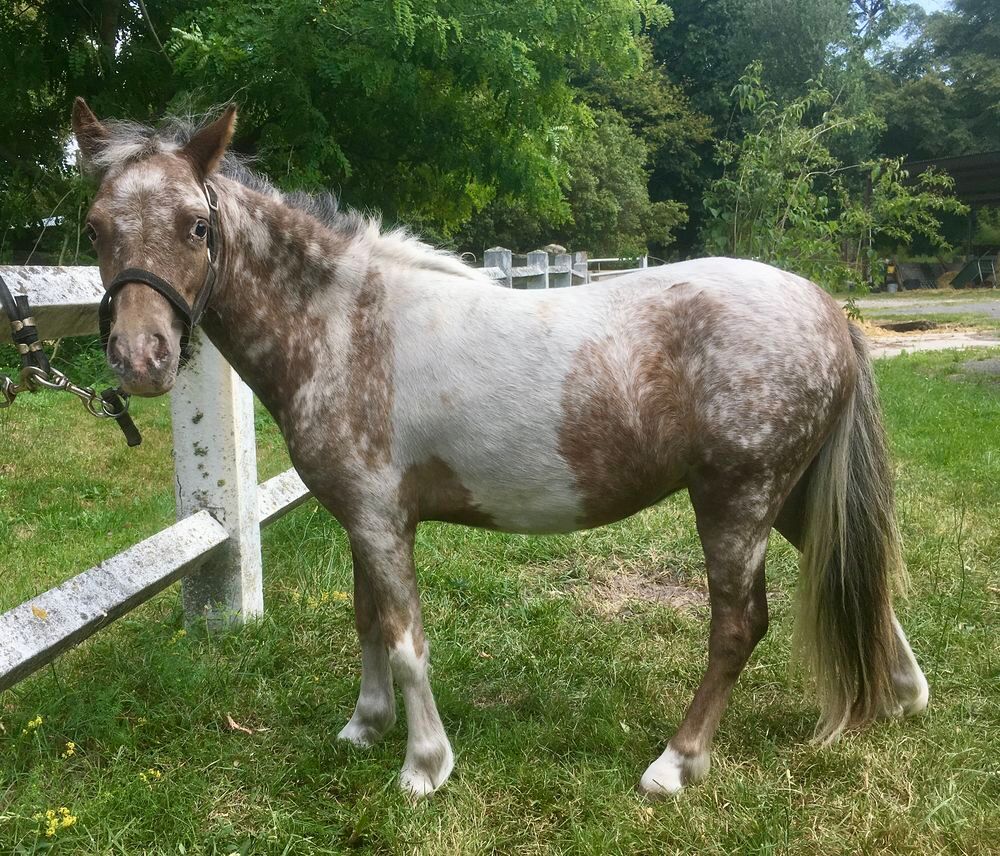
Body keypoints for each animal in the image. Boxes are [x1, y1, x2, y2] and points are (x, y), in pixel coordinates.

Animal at [70, 100, 929, 799]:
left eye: (197, 225)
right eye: (96, 227)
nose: (141, 358)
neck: (347, 326)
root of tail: (825, 308)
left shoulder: (381, 520)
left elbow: (406, 640)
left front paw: (423, 767)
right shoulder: (363, 518)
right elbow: (368, 620)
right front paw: (364, 727)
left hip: (736, 499)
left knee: (738, 626)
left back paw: (676, 764)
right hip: (790, 495)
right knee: (865, 576)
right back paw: (901, 694)